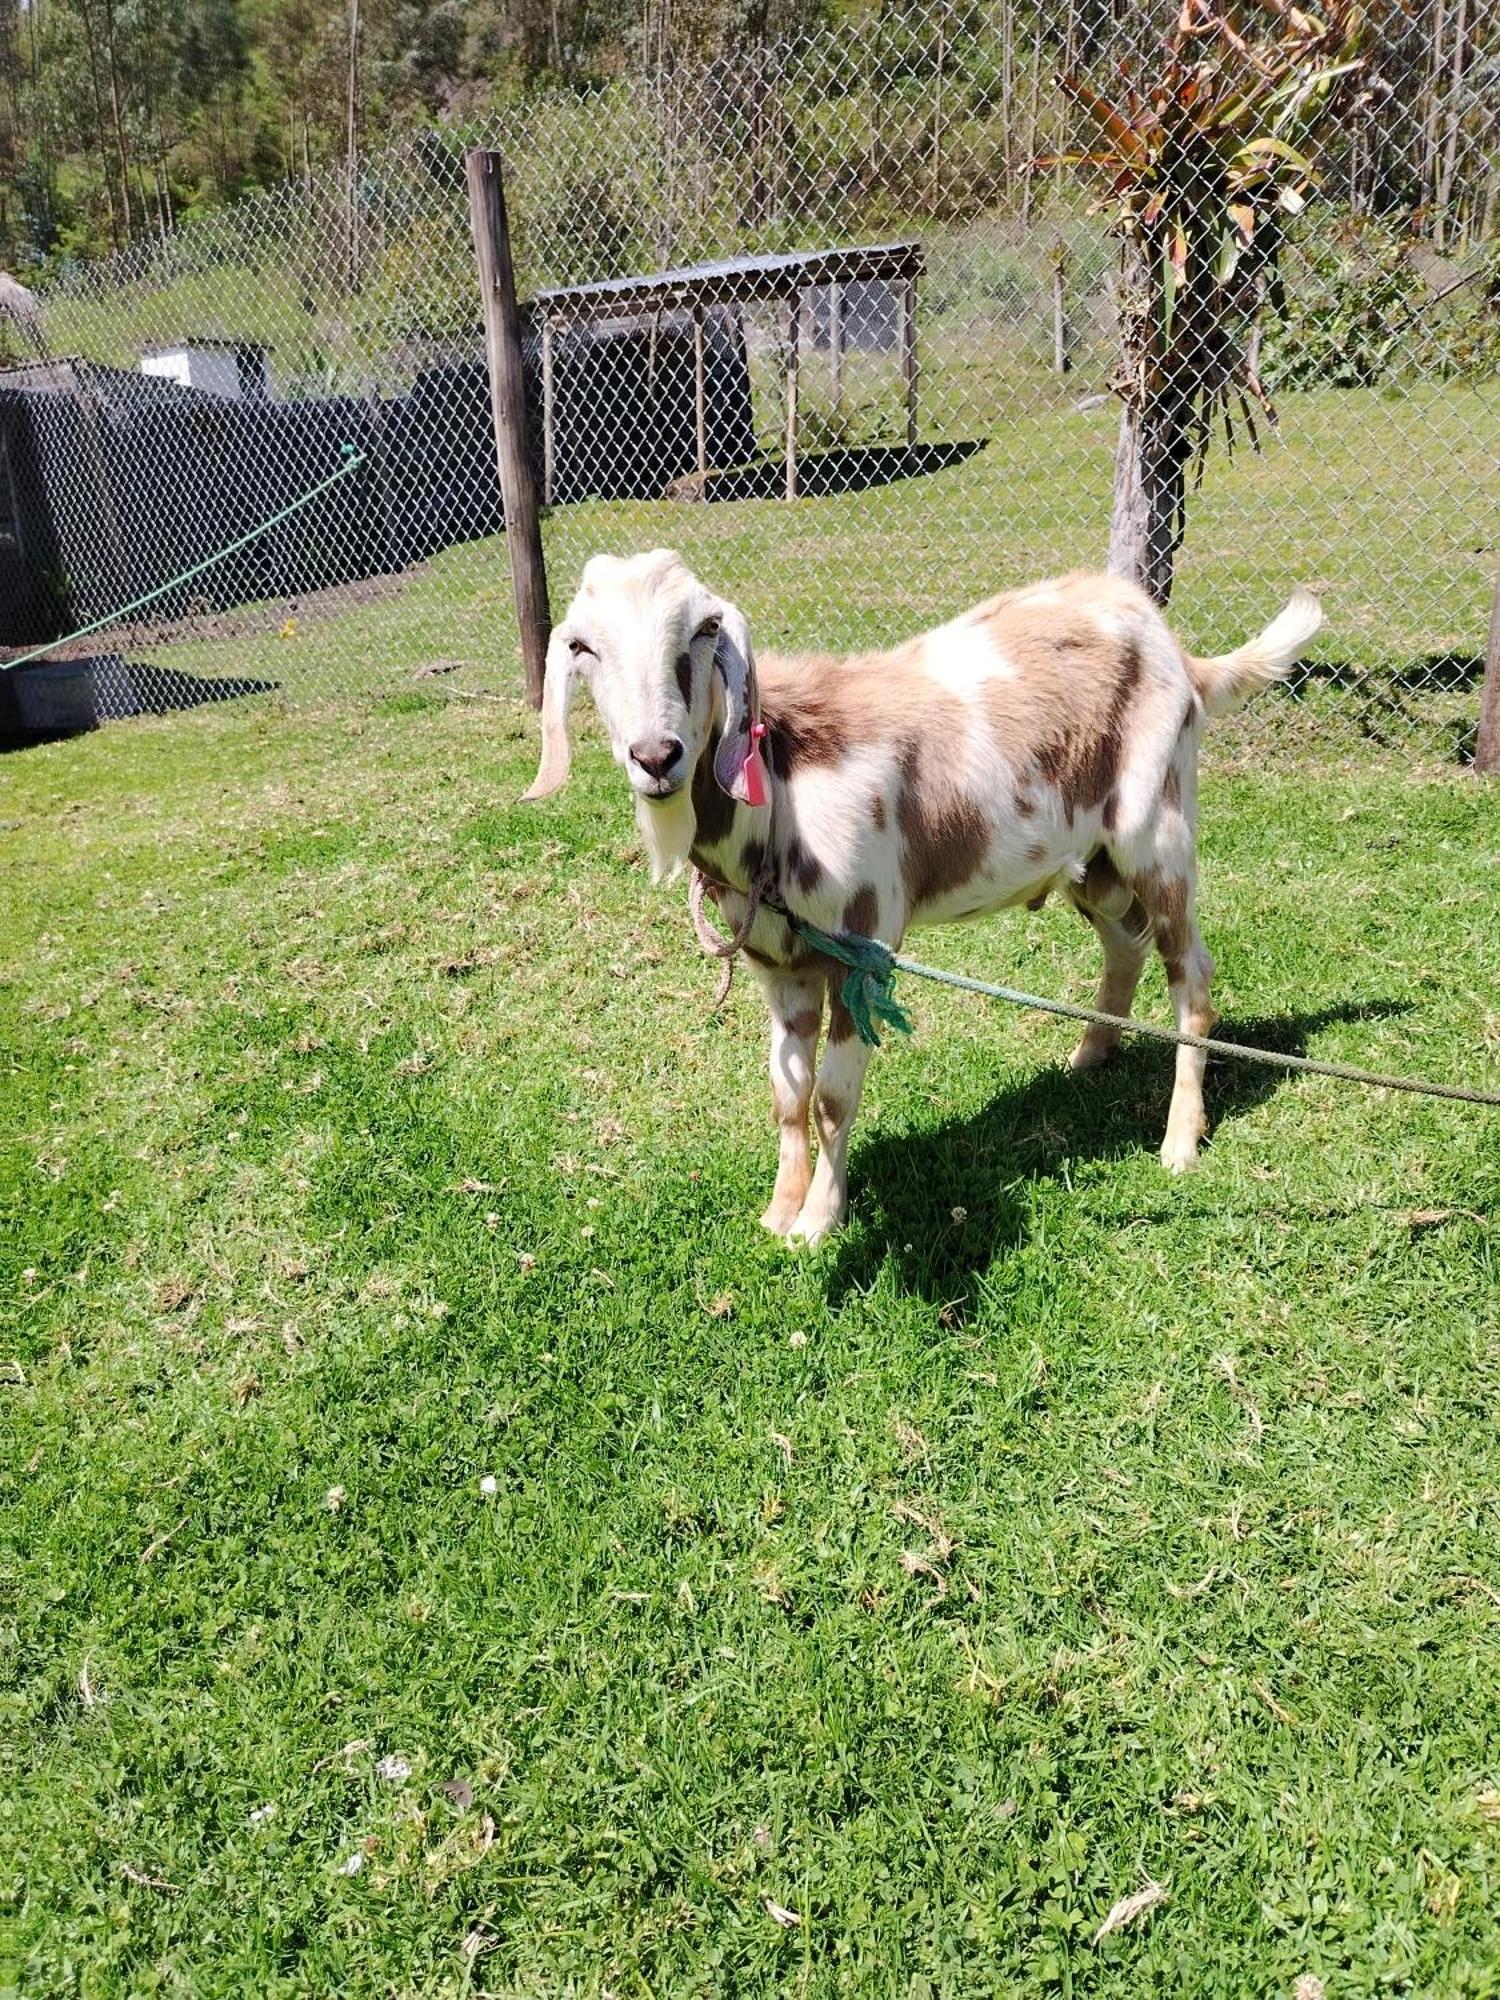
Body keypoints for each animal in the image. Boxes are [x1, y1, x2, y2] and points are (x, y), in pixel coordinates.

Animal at [524, 548, 1320, 1232]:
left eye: (704, 629)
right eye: (583, 647)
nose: (657, 756)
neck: (783, 788)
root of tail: (1175, 648)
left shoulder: (862, 946)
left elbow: (833, 1098)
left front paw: (817, 1223)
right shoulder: (780, 964)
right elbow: (788, 1093)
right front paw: (780, 1211)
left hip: (1156, 831)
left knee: (1193, 977)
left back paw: (1180, 1141)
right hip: (1091, 859)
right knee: (1125, 943)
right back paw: (1091, 1055)